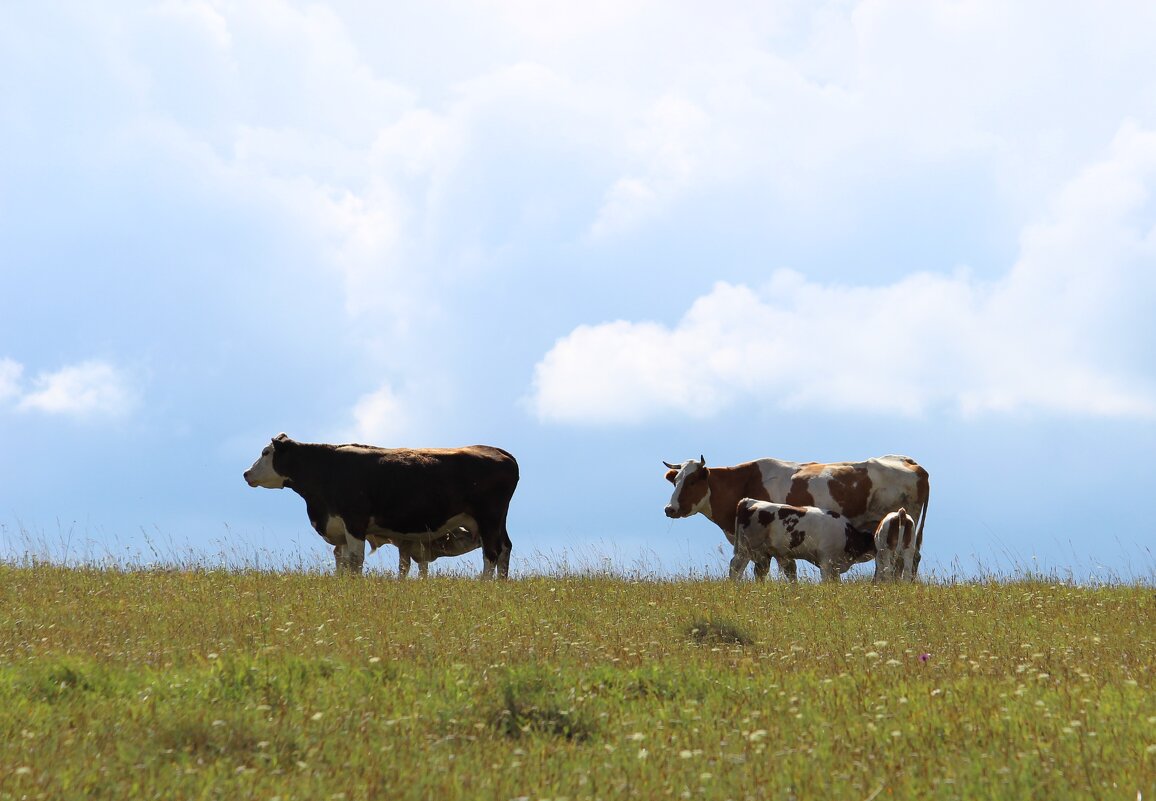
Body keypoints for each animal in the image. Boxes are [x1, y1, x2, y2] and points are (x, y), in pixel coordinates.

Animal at [245, 434, 520, 577]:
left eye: (266, 452)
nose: (246, 473)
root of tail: (499, 452)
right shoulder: (339, 526)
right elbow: (342, 559)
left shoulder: (355, 521)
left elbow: (355, 559)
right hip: (497, 520)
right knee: (505, 548)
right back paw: (500, 584)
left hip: (488, 518)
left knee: (491, 553)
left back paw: (484, 584)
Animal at [730, 499, 873, 580]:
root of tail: (749, 501)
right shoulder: (826, 559)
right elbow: (826, 581)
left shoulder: (835, 567)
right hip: (746, 548)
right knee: (735, 567)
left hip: (762, 553)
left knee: (759, 572)